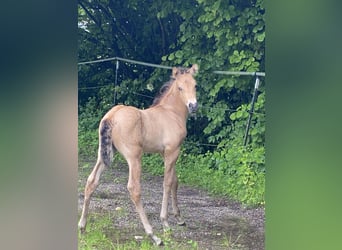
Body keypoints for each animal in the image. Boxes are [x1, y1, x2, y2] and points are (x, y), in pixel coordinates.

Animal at [78, 63, 198, 245]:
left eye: (195, 85)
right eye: (180, 87)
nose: (193, 106)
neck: (171, 112)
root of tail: (111, 116)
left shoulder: (165, 153)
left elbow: (175, 181)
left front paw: (179, 218)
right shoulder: (172, 151)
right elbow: (168, 182)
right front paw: (165, 223)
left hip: (104, 154)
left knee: (92, 181)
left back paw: (82, 226)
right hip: (134, 157)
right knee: (134, 188)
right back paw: (153, 235)